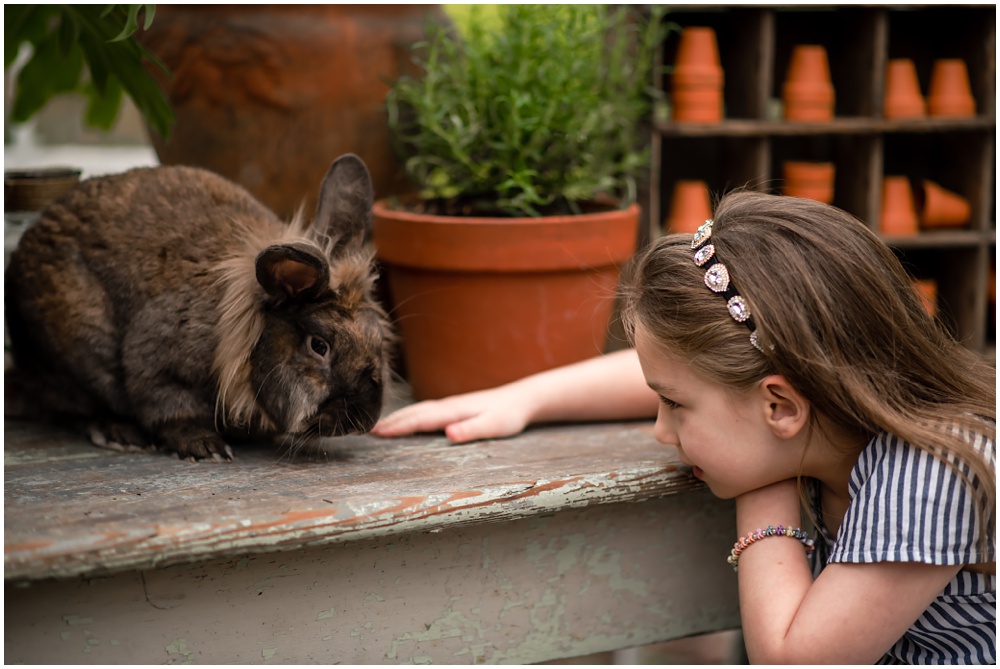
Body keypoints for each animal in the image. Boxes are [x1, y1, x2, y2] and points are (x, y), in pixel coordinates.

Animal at [5, 153, 392, 456]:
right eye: (319, 346)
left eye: (377, 341)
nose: (364, 420)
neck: (245, 337)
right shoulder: (160, 366)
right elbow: (171, 408)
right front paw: (206, 447)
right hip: (77, 354)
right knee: (71, 409)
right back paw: (121, 434)